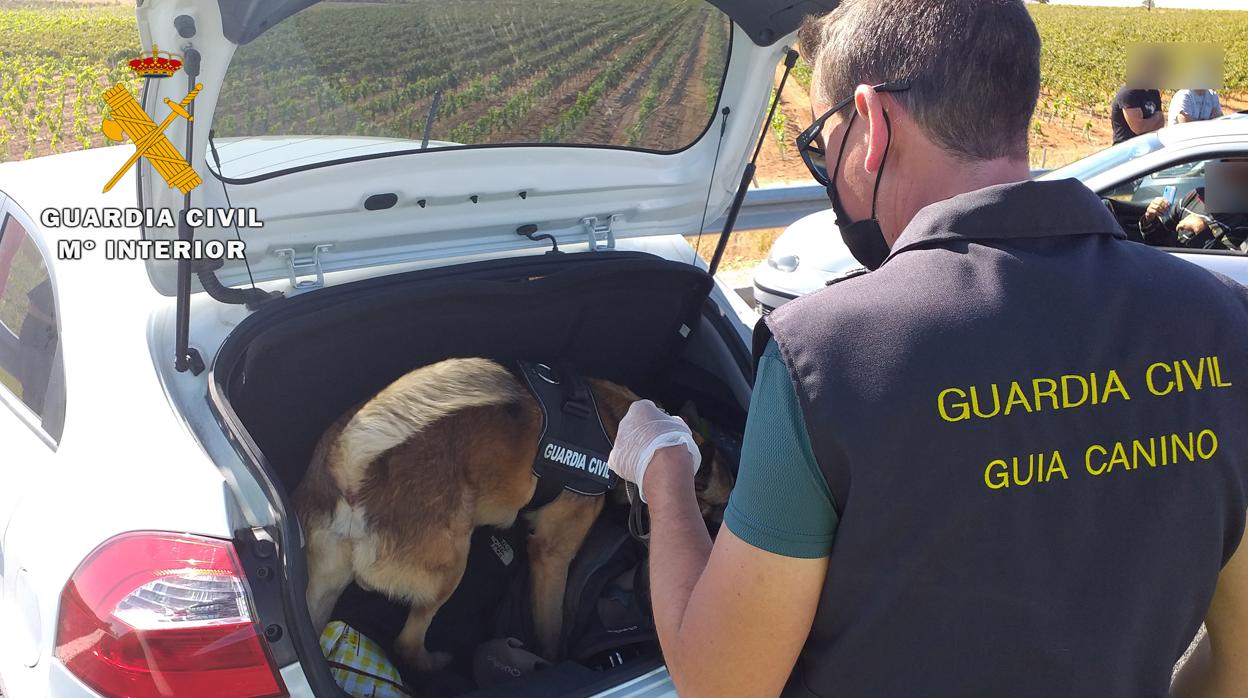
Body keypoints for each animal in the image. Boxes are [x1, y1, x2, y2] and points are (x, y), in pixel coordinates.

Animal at [295, 359, 733, 674]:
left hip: (324, 589)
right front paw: (554, 661)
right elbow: (551, 628)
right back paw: (432, 663)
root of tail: (351, 470)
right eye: (718, 509)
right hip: (451, 565)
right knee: (406, 643)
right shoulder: (552, 557)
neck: (620, 423)